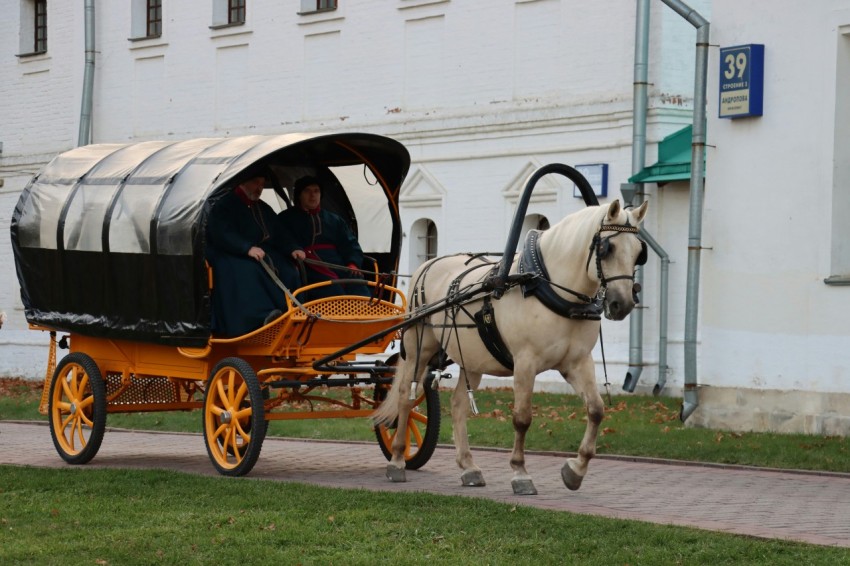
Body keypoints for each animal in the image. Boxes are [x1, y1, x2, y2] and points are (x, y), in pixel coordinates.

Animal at [374, 202, 644, 494]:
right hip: (418, 350)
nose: (622, 304)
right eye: (608, 248)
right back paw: (397, 460)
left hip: (473, 360)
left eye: (639, 252)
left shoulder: (577, 362)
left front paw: (575, 470)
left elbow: (595, 410)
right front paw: (520, 472)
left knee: (458, 405)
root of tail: (427, 265)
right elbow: (522, 418)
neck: (547, 287)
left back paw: (468, 466)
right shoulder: (525, 362)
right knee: (406, 398)